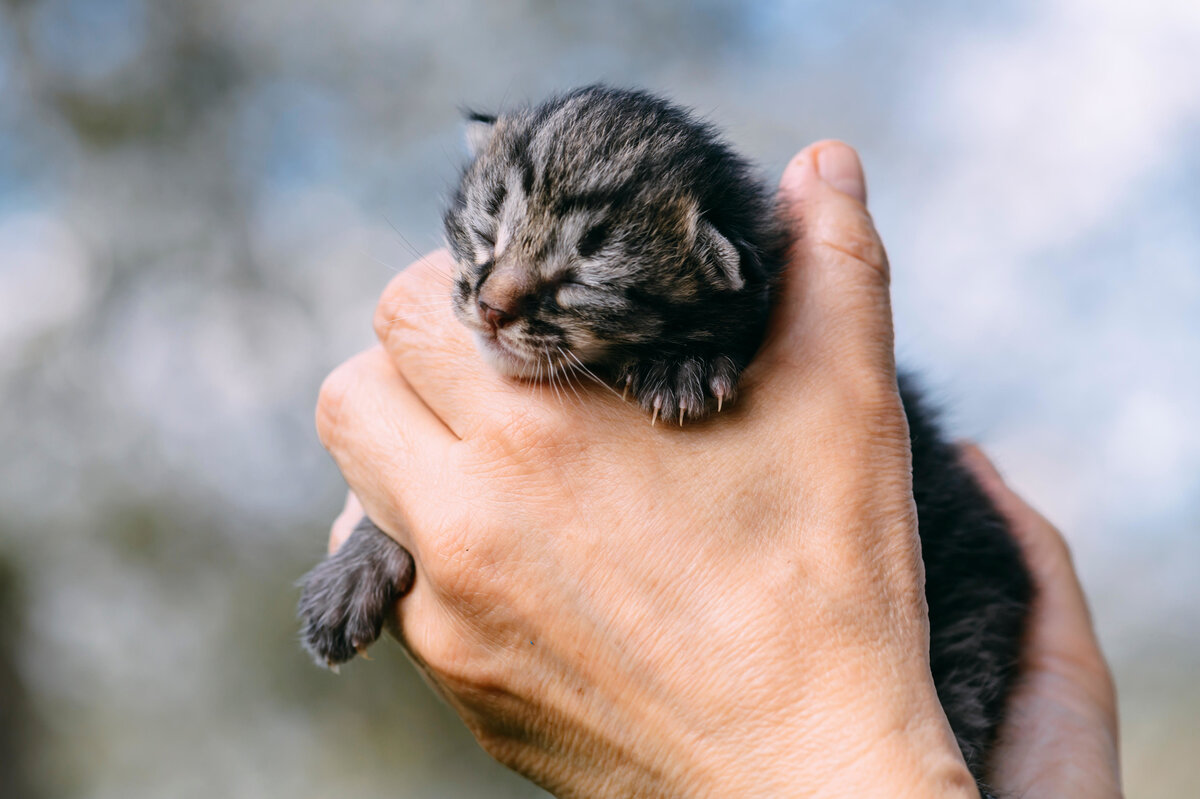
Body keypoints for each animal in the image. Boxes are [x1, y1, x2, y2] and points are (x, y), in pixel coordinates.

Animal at [300, 85, 1032, 782]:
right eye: (491, 231)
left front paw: (686, 365)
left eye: (580, 277)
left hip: (975, 577)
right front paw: (357, 564)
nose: (491, 306)